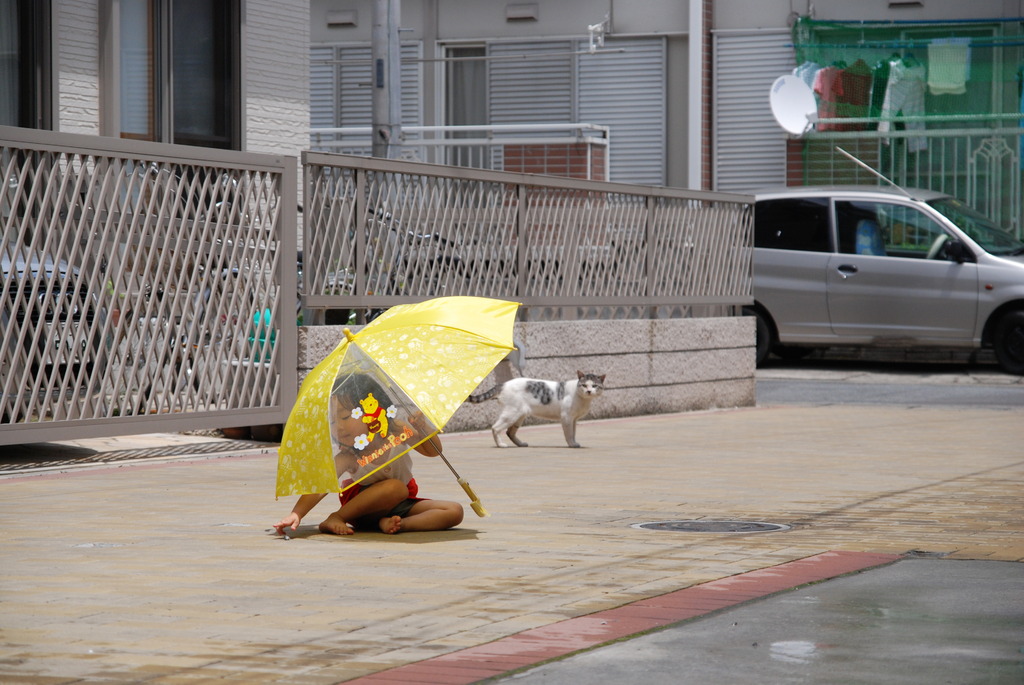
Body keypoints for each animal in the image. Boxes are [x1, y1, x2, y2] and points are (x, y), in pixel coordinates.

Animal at [468, 368, 602, 448]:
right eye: (584, 385)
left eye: (595, 386)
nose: (589, 391)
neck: (583, 399)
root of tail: (503, 384)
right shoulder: (567, 418)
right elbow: (569, 434)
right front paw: (572, 444)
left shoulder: (574, 419)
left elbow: (573, 433)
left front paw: (574, 442)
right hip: (512, 413)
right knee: (495, 428)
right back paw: (501, 444)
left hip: (519, 415)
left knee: (509, 432)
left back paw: (521, 444)